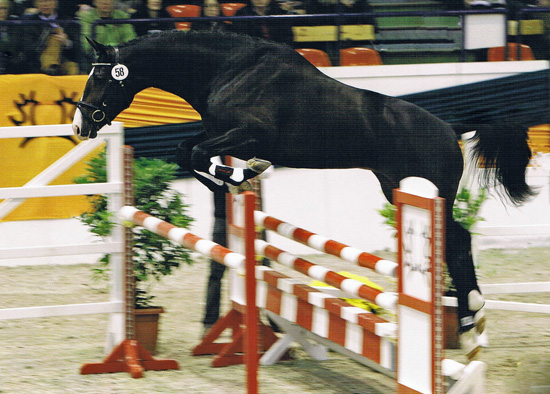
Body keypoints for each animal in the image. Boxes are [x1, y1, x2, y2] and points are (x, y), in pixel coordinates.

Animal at [71, 30, 536, 358]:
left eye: (101, 76)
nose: (81, 125)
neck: (230, 70)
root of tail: (449, 127)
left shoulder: (250, 133)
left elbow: (200, 153)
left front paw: (242, 173)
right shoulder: (220, 132)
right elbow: (187, 152)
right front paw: (234, 179)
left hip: (424, 193)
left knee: (457, 240)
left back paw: (469, 319)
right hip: (399, 189)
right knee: (457, 241)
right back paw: (469, 322)